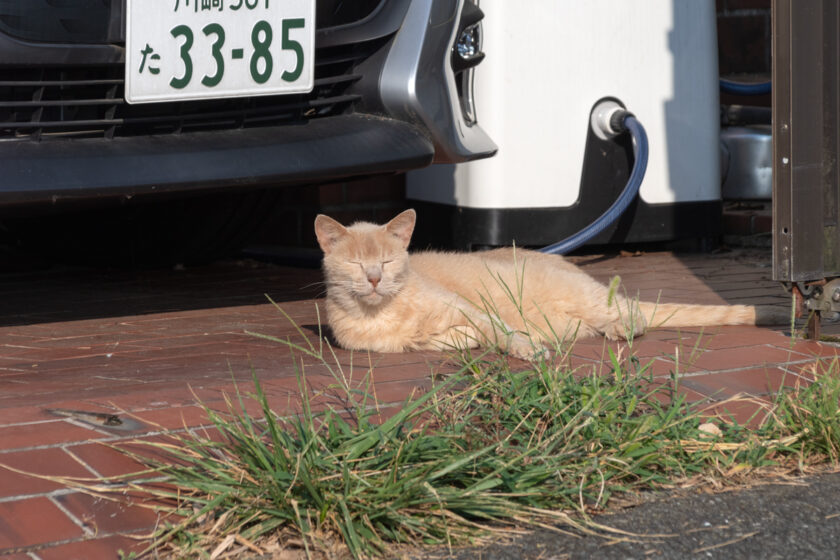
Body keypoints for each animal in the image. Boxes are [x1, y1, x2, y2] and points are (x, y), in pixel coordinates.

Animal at [316, 209, 788, 358]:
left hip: (588, 297)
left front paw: (526, 349)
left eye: (387, 261)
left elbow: (502, 332)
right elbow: (451, 339)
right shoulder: (420, 340)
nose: (374, 279)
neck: (383, 312)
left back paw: (620, 329)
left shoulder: (472, 310)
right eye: (357, 265)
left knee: (632, 312)